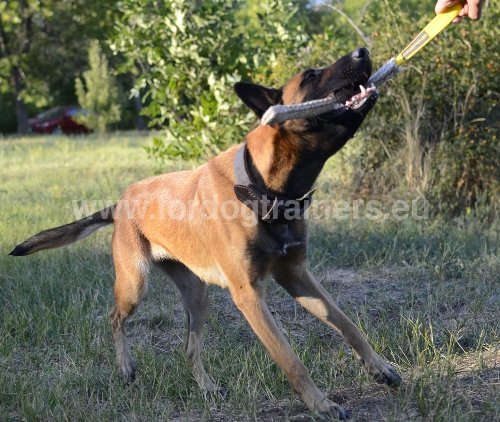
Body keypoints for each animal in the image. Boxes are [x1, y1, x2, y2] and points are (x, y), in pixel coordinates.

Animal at [10, 48, 402, 418]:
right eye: (310, 75)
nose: (363, 52)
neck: (262, 186)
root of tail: (121, 202)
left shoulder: (297, 276)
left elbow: (347, 324)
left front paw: (379, 367)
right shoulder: (249, 296)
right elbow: (290, 358)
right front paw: (321, 405)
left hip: (198, 296)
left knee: (188, 348)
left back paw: (206, 387)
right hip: (135, 284)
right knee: (114, 317)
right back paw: (126, 368)